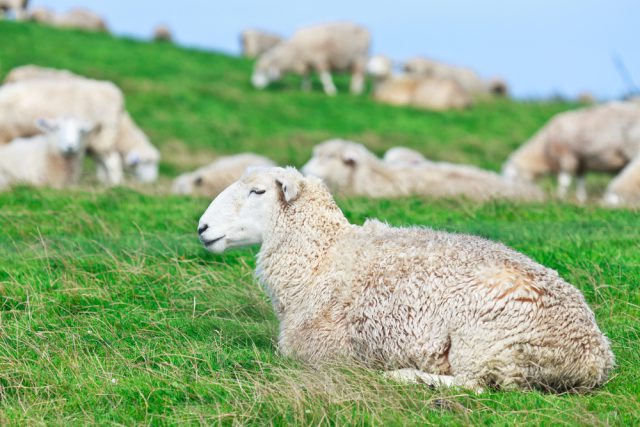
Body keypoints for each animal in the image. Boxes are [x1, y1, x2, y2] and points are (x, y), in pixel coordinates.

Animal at [196, 166, 616, 392]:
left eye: (257, 191)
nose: (202, 228)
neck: (322, 257)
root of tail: (594, 357)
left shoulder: (319, 350)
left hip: (490, 343)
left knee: (478, 385)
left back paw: (406, 376)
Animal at [502, 101, 640, 201]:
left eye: (511, 176)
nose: (509, 191)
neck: (544, 150)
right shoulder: (581, 162)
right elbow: (580, 180)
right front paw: (581, 198)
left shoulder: (567, 156)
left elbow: (564, 181)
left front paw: (560, 197)